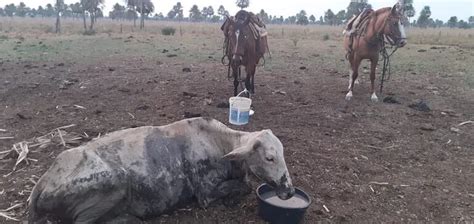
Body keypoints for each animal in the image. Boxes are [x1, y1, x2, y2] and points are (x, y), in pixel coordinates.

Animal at [28, 117, 292, 222]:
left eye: (282, 153)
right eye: (269, 157)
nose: (289, 191)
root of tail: (44, 180)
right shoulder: (205, 193)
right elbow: (243, 186)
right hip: (114, 183)